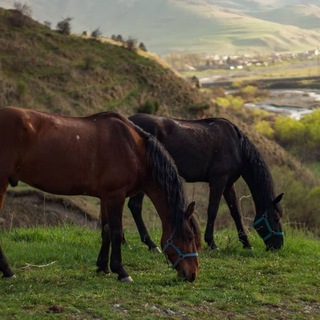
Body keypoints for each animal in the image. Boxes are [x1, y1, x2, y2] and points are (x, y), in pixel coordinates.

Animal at [0, 107, 200, 282]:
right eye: (189, 237)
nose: (192, 274)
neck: (133, 149)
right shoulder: (115, 196)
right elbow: (116, 232)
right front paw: (121, 271)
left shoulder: (105, 197)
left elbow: (106, 231)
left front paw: (103, 266)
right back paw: (8, 271)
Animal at [129, 114, 284, 251]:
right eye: (276, 218)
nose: (279, 246)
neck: (237, 146)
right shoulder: (218, 181)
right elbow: (212, 210)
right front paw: (212, 243)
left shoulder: (229, 185)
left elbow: (236, 212)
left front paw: (246, 242)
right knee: (135, 206)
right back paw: (150, 244)